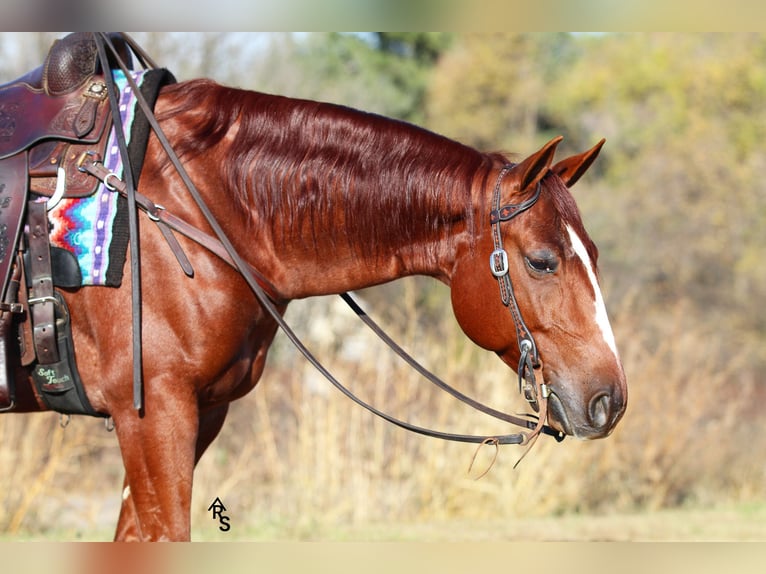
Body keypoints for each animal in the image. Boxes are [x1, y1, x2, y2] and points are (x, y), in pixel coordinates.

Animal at [9, 77, 628, 540]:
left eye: (595, 255)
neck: (190, 209)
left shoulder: (201, 412)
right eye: (543, 262)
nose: (610, 401)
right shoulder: (151, 413)